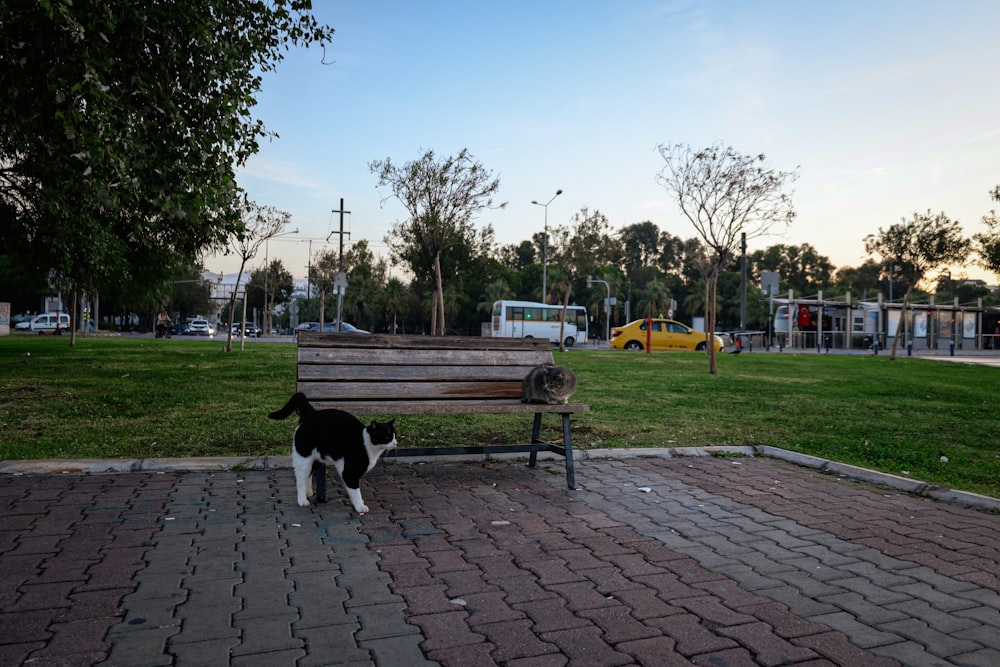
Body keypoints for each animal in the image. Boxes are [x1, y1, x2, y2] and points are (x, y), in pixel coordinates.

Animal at [268, 394, 396, 516]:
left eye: (394, 435)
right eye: (387, 437)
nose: (395, 443)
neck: (368, 444)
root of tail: (311, 413)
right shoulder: (349, 472)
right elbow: (355, 492)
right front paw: (360, 506)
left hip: (315, 460)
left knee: (307, 475)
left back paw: (308, 492)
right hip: (303, 458)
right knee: (300, 478)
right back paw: (302, 500)